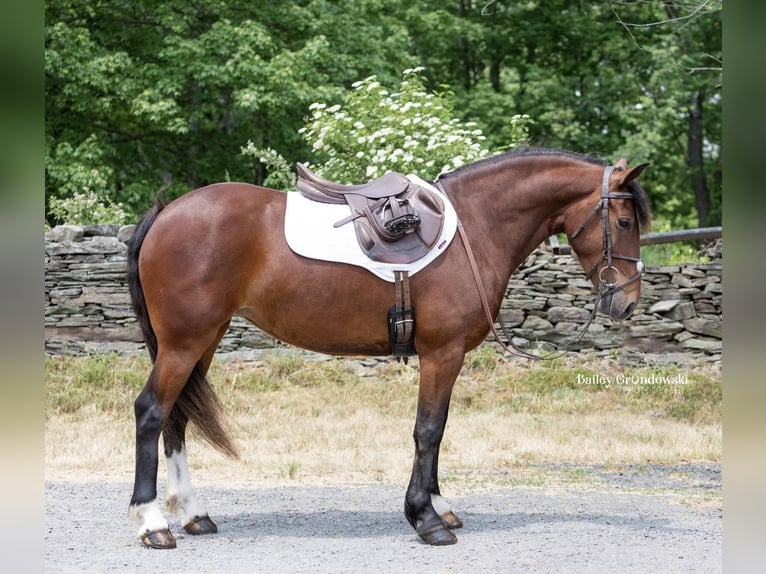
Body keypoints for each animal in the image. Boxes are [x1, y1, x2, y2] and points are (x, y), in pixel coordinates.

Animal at [127, 147, 656, 548]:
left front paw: (439, 507)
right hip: (184, 343)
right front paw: (425, 520)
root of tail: (167, 212)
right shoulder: (442, 353)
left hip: (203, 340)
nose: (626, 302)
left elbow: (438, 431)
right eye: (624, 222)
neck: (476, 228)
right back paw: (153, 524)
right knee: (152, 411)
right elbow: (429, 430)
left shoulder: (447, 358)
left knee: (177, 416)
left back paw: (193, 515)